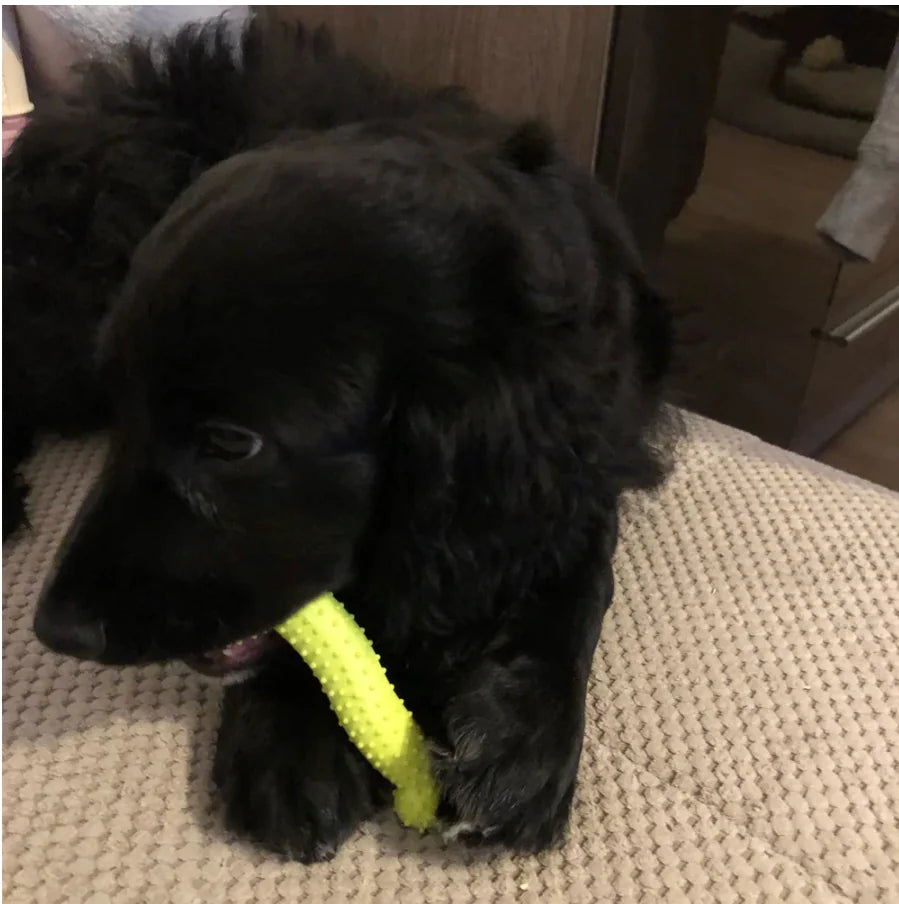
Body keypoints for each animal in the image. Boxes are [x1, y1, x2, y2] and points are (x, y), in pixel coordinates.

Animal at [3, 17, 672, 860]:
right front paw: (290, 736)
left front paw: (525, 738)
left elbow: (578, 565)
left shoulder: (592, 440)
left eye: (232, 444)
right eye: (124, 406)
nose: (55, 630)